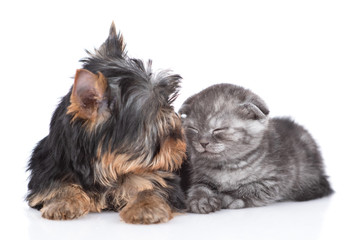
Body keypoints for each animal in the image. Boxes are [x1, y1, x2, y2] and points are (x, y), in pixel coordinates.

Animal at [26, 22, 186, 223]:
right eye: (157, 115)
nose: (180, 140)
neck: (101, 167)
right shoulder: (49, 168)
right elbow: (58, 184)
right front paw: (62, 202)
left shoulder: (160, 177)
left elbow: (151, 185)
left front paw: (145, 207)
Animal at [177, 83, 332, 214]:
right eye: (193, 129)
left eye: (218, 129)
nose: (203, 142)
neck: (228, 166)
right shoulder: (200, 176)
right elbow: (199, 187)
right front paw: (201, 199)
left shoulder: (276, 179)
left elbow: (250, 188)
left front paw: (228, 197)